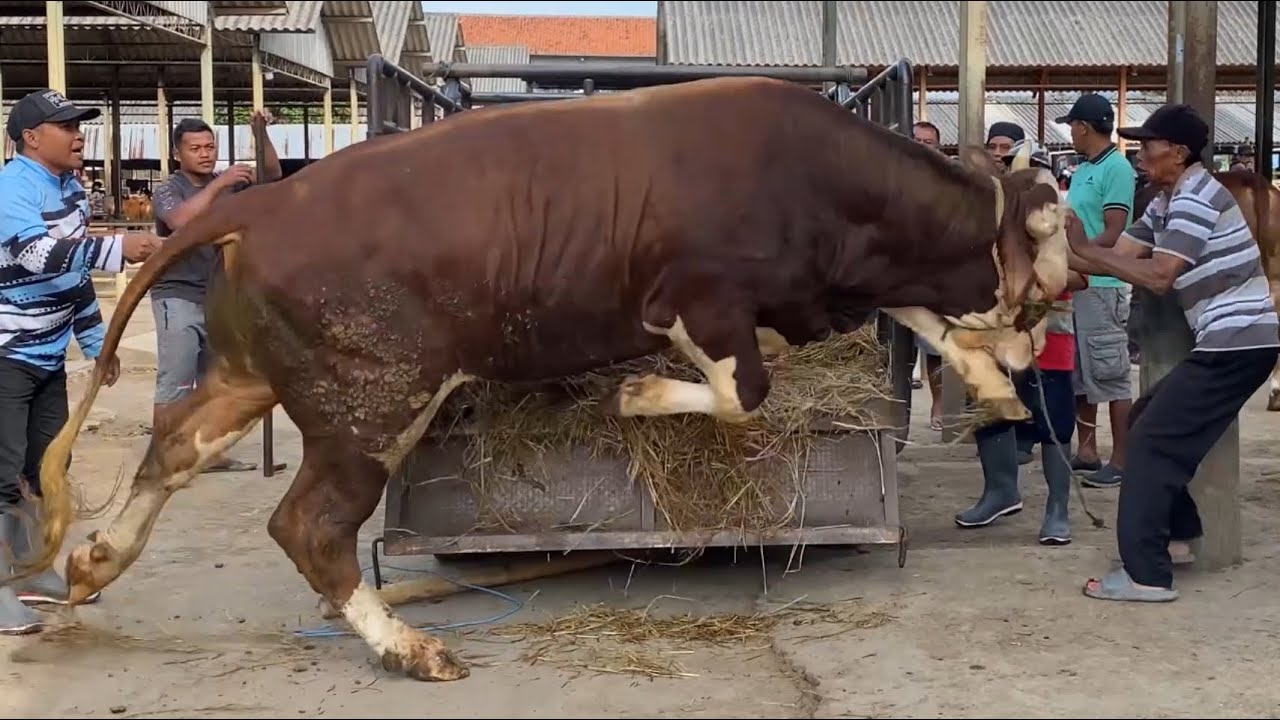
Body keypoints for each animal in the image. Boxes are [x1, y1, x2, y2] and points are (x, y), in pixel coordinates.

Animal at [13, 76, 1070, 682]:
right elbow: (745, 393)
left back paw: (94, 563)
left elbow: (923, 319)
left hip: (251, 377)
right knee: (307, 524)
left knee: (172, 446)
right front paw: (635, 397)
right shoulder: (699, 300)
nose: (1051, 320)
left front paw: (990, 385)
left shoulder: (833, 290)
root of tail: (262, 204)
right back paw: (408, 647)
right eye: (1053, 243)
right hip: (374, 401)